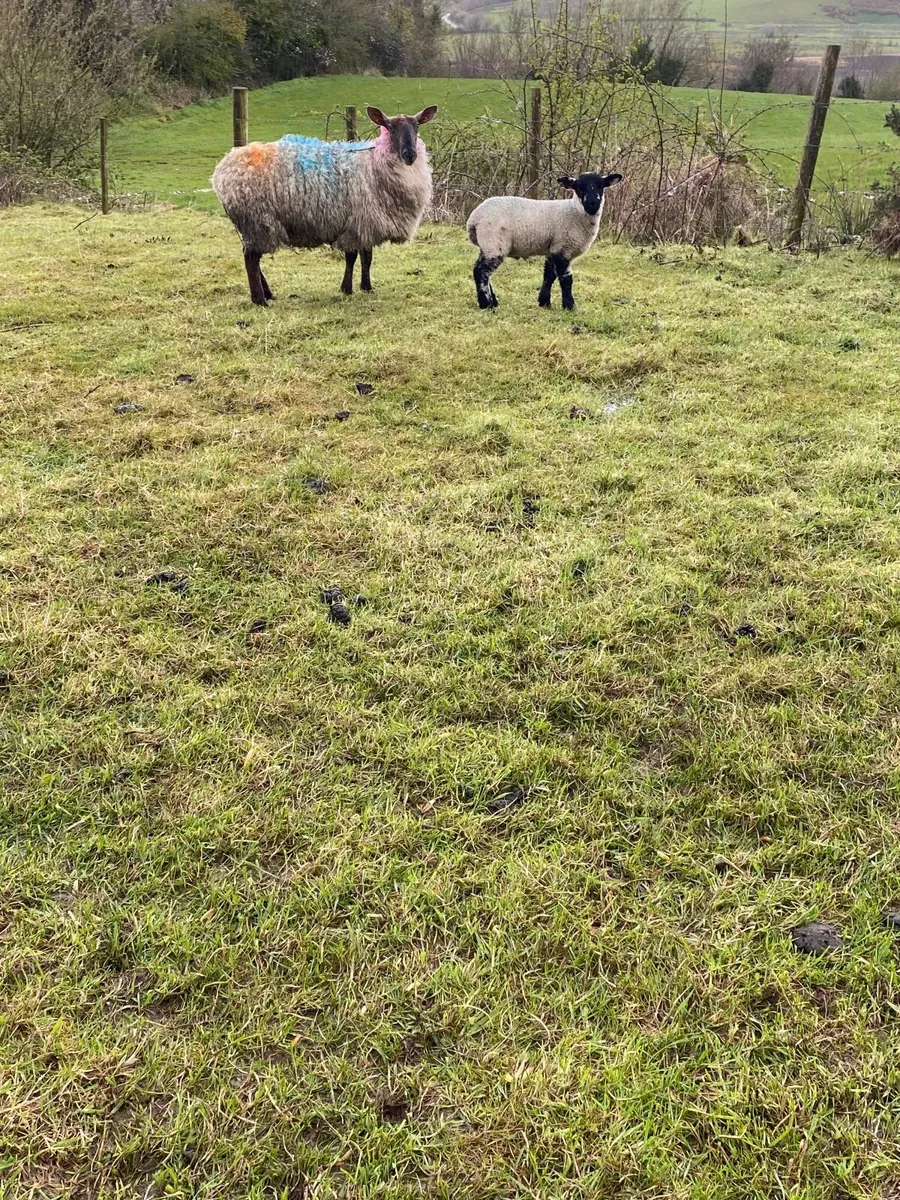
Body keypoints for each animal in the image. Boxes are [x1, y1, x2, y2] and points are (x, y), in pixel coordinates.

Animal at [211, 105, 438, 305]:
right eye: (390, 127)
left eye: (417, 126)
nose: (410, 154)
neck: (373, 163)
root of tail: (221, 170)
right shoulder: (355, 221)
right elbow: (352, 256)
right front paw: (347, 289)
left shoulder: (366, 222)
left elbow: (367, 257)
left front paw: (366, 287)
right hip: (257, 219)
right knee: (251, 258)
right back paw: (260, 300)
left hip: (252, 224)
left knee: (251, 256)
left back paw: (267, 293)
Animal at [466, 171, 623, 312]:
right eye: (579, 188)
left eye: (601, 186)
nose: (592, 204)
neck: (574, 212)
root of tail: (474, 219)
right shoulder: (563, 248)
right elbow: (566, 279)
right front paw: (570, 307)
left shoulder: (553, 248)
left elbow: (549, 275)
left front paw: (544, 302)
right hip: (494, 243)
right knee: (481, 271)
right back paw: (487, 304)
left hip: (487, 245)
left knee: (485, 272)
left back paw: (493, 302)